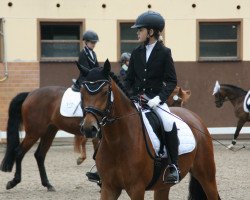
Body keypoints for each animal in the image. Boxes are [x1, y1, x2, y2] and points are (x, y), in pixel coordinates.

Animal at [78, 59, 221, 200]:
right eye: (82, 93)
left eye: (105, 92)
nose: (89, 128)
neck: (117, 141)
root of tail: (195, 118)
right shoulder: (108, 188)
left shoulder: (137, 189)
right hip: (163, 185)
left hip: (206, 176)